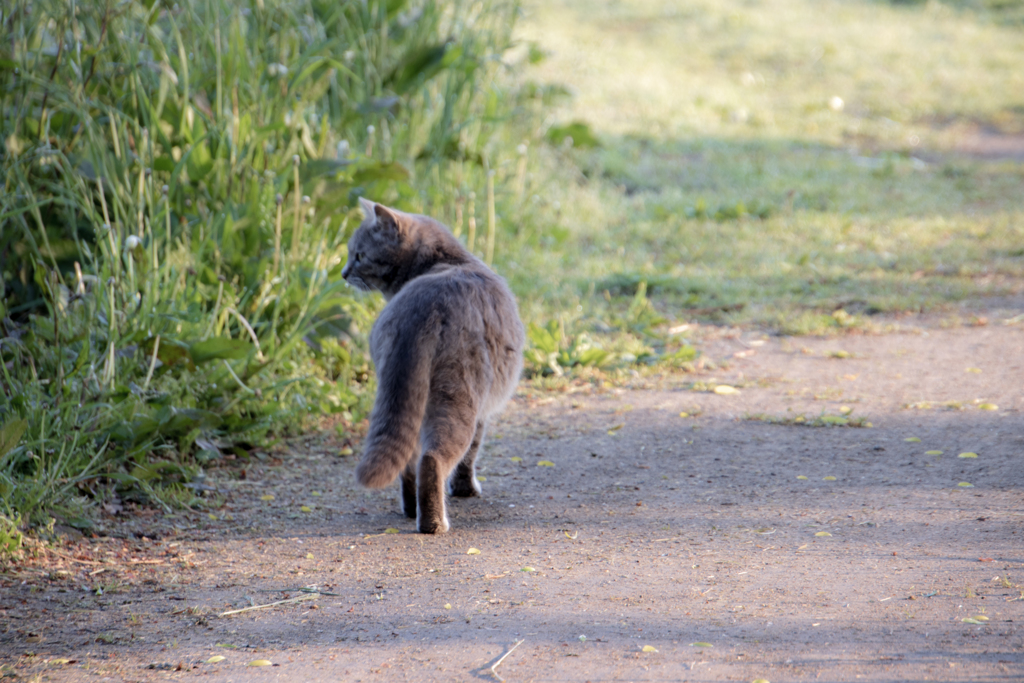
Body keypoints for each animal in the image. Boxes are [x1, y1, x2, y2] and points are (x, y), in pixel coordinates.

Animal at [339, 197, 524, 532]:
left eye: (359, 255)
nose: (344, 273)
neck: (448, 259)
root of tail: (422, 307)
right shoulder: (482, 413)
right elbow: (471, 454)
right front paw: (466, 489)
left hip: (404, 396)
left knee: (409, 462)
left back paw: (411, 510)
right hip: (458, 395)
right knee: (434, 458)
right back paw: (434, 522)